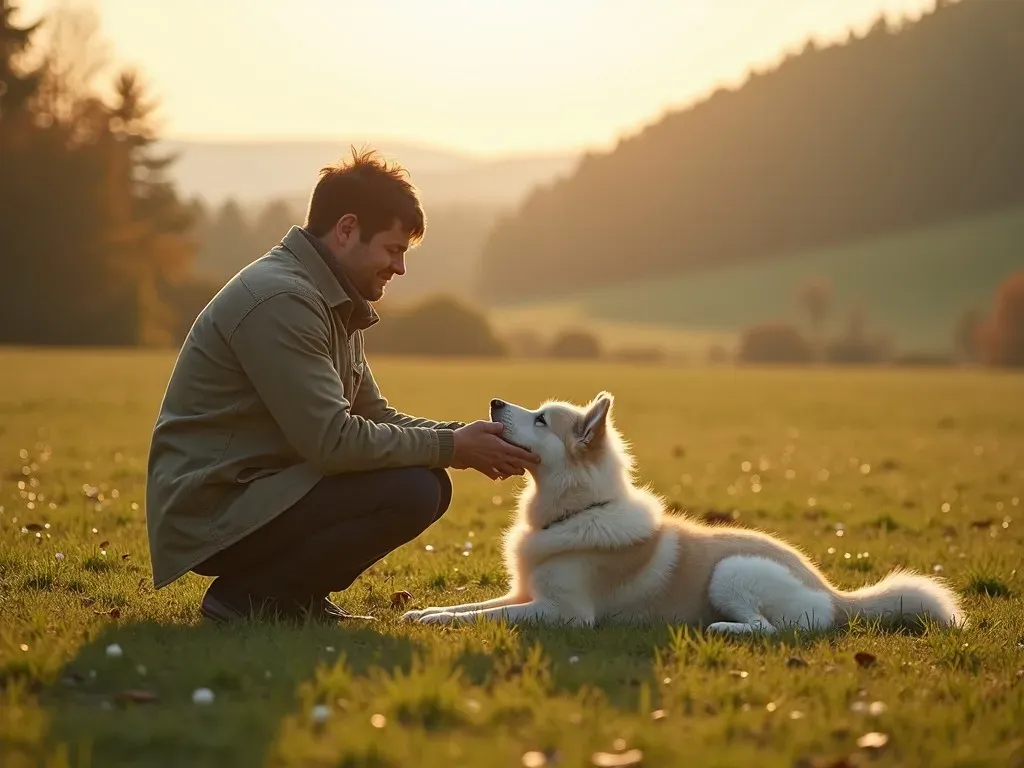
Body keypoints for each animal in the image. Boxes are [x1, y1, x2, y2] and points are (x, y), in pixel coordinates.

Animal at [403, 393, 962, 634]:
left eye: (541, 420)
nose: (495, 402)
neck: (579, 510)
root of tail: (833, 592)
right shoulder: (525, 593)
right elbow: (472, 607)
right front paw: (426, 612)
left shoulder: (564, 613)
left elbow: (491, 615)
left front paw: (438, 620)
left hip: (733, 573)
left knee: (775, 628)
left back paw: (725, 629)